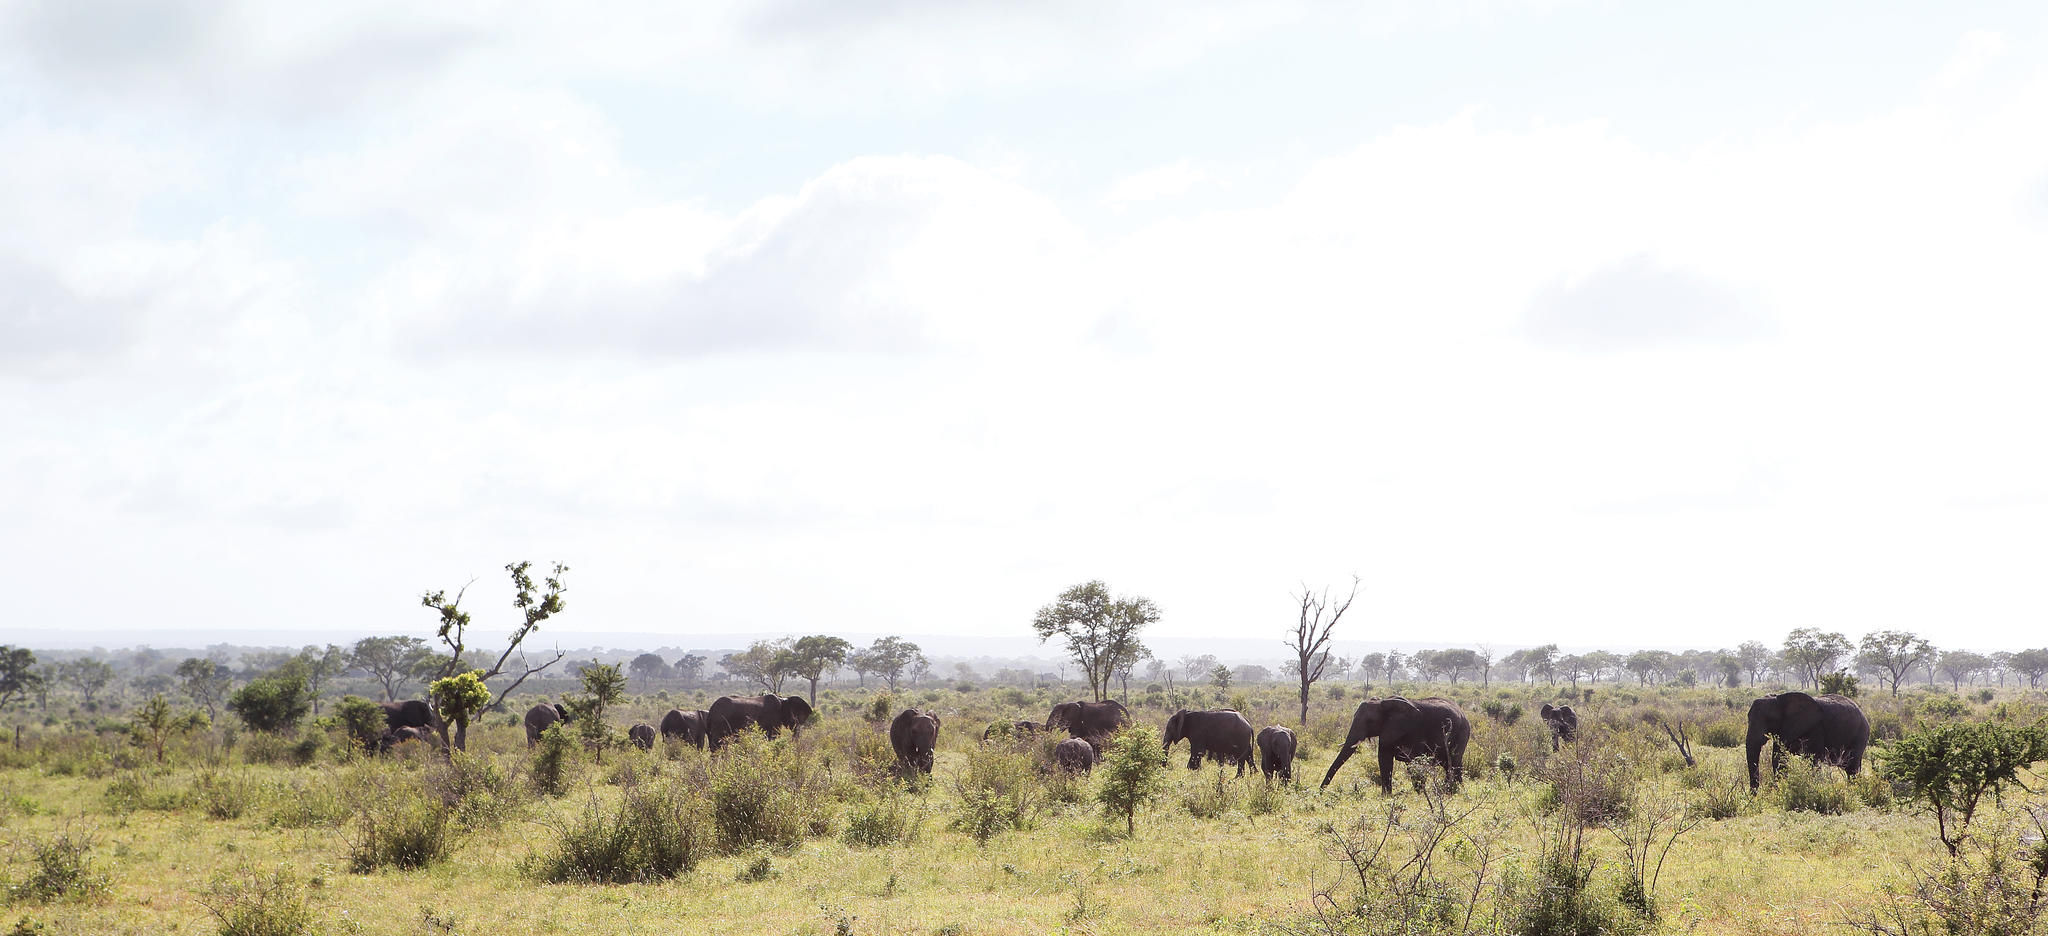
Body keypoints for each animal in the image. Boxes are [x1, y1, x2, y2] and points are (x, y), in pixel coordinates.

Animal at [1321, 697, 1471, 793]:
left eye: (1370, 721)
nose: (1321, 792)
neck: (1383, 702)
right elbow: (1384, 759)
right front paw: (1386, 796)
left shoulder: (1413, 729)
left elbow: (1413, 760)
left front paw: (1419, 793)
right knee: (1448, 764)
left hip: (1462, 732)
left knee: (1454, 761)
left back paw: (1453, 790)